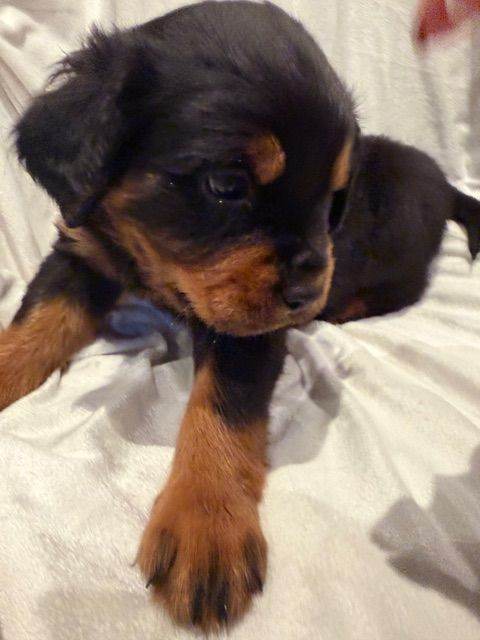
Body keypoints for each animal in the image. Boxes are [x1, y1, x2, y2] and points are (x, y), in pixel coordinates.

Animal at [1, 0, 479, 631]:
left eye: (333, 199)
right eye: (226, 184)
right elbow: (34, 325)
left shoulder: (249, 328)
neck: (153, 261)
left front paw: (205, 520)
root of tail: (448, 185)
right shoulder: (81, 252)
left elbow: (221, 406)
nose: (307, 290)